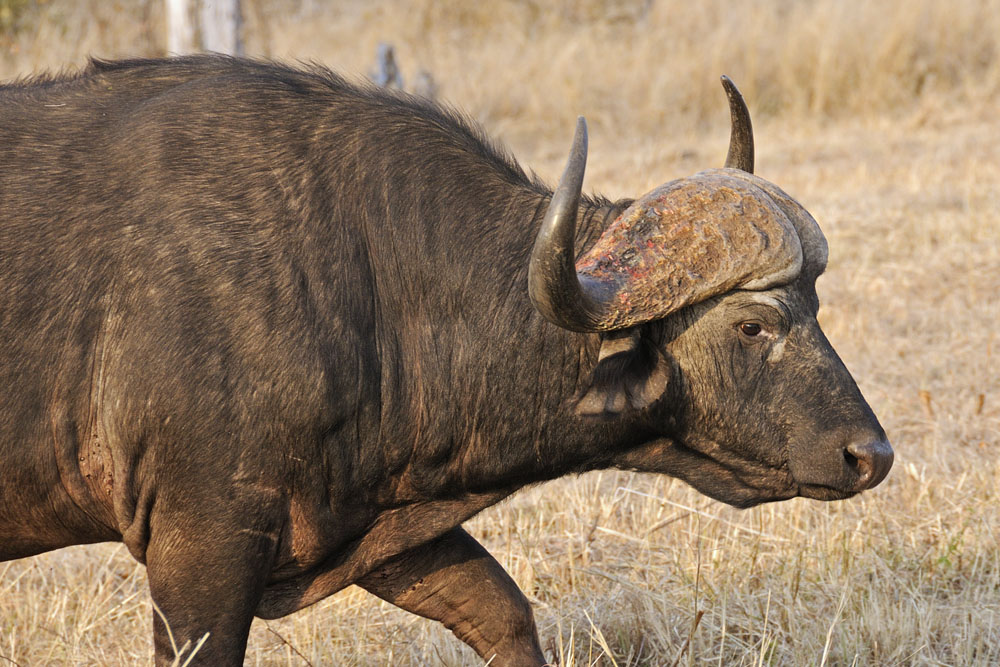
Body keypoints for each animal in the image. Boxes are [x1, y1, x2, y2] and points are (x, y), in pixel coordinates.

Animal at [0, 56, 892, 665]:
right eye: (752, 325)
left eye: (814, 306)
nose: (871, 455)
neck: (363, 277)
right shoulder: (202, 546)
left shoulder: (379, 524)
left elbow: (504, 612)